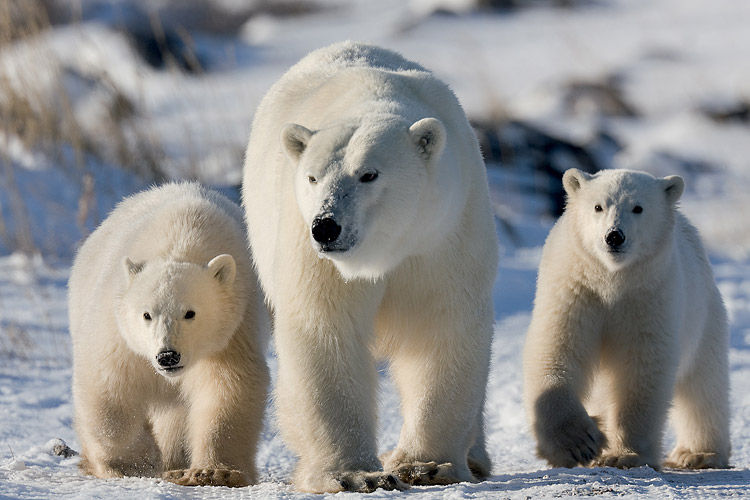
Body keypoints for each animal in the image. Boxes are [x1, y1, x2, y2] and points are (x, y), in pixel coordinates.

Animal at [242, 42, 500, 492]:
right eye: (312, 177)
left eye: (368, 174)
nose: (326, 226)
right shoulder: (314, 256)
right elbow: (326, 329)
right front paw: (353, 474)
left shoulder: (442, 239)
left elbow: (442, 327)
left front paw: (426, 466)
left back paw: (476, 458)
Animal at [524, 170, 732, 470]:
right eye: (598, 206)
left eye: (638, 208)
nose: (614, 237)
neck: (611, 279)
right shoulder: (575, 289)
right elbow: (558, 349)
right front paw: (579, 444)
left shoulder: (648, 295)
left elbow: (641, 367)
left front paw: (625, 454)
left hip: (705, 316)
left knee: (704, 384)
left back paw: (698, 453)